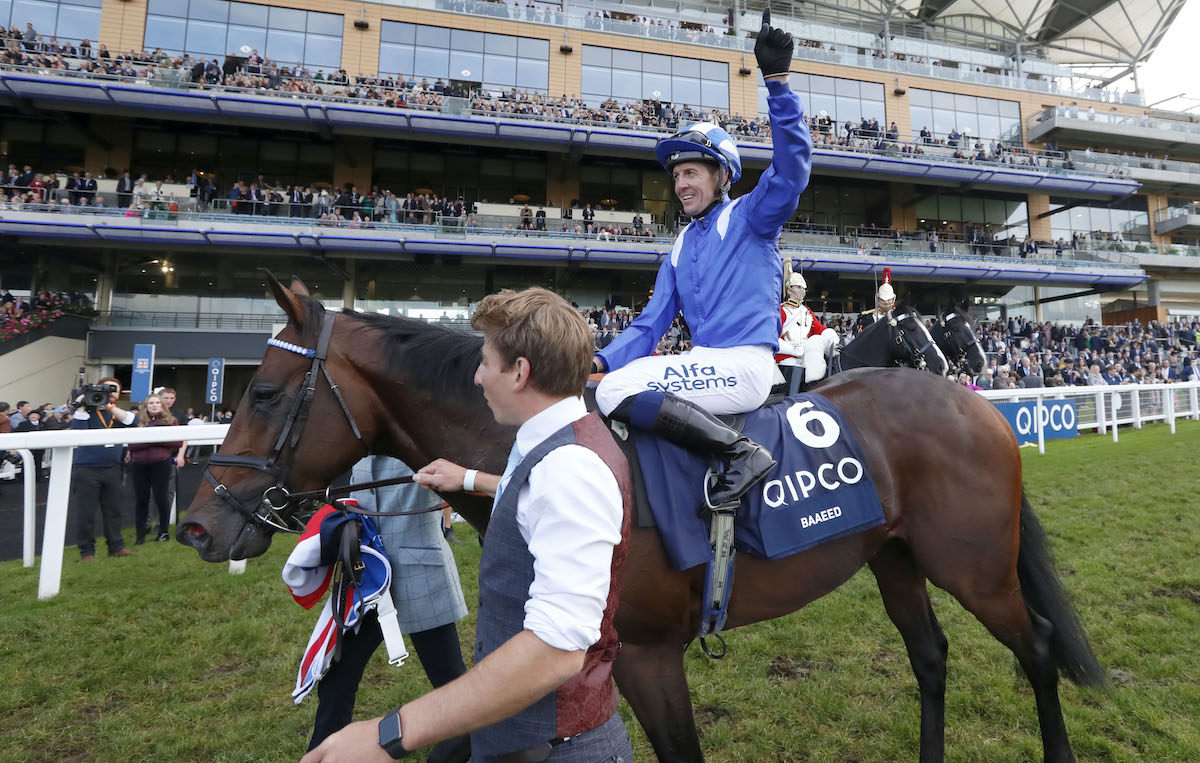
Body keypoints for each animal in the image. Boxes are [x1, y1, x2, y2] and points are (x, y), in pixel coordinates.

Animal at [180, 275, 1104, 763]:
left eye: (265, 393)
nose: (196, 526)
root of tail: (973, 408)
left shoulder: (649, 654)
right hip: (895, 555)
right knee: (931, 657)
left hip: (973, 564)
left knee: (1037, 649)